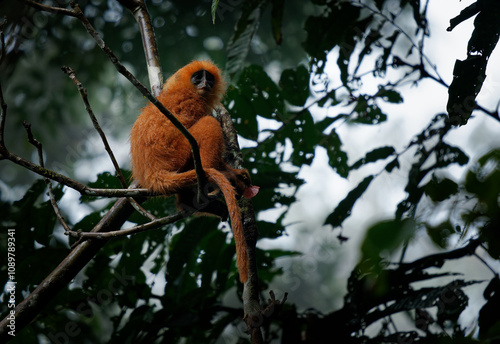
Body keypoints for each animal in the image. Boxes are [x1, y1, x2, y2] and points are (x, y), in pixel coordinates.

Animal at [131, 60, 258, 284]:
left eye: (210, 78)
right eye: (198, 77)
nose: (205, 83)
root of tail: (154, 173)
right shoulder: (193, 104)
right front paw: (232, 173)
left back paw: (190, 202)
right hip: (178, 153)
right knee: (208, 123)